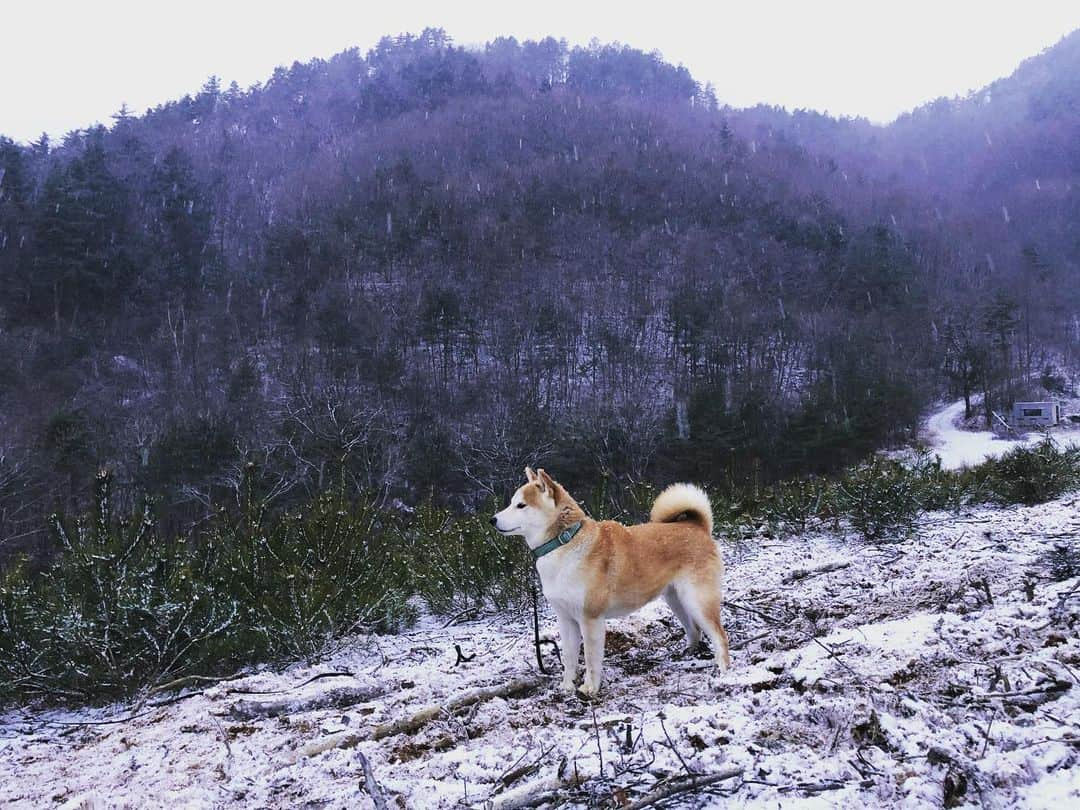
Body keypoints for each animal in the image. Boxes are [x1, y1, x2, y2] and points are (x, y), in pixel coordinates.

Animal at [494, 468, 730, 699]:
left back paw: (723, 674)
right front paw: (566, 687)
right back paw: (688, 654)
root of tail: (697, 526)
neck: (564, 543)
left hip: (697, 600)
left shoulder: (590, 619)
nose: (492, 520)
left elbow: (590, 659)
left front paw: (589, 689)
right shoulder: (566, 620)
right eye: (512, 502)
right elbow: (569, 658)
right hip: (676, 600)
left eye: (521, 505)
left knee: (720, 636)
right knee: (694, 630)